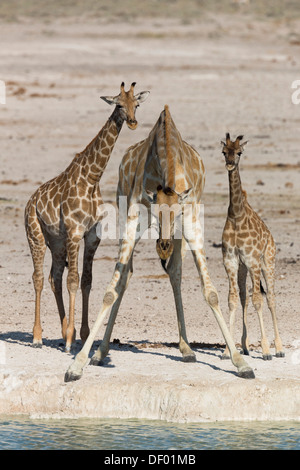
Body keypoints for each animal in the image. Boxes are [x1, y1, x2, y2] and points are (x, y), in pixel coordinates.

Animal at [24, 82, 150, 350]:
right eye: (118, 105)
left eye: (137, 104)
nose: (133, 122)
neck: (92, 179)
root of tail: (30, 201)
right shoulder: (75, 232)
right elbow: (74, 279)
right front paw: (72, 339)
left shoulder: (91, 236)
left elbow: (86, 281)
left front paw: (81, 335)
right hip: (35, 235)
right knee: (38, 277)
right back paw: (38, 336)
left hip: (57, 242)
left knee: (54, 277)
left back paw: (62, 332)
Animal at [64, 106, 254, 382]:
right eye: (155, 212)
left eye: (178, 213)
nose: (163, 246)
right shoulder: (134, 219)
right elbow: (111, 290)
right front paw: (78, 364)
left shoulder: (191, 221)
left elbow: (211, 293)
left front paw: (241, 362)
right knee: (128, 276)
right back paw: (101, 352)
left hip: (180, 237)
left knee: (175, 272)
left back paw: (186, 348)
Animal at [220, 132, 284, 360]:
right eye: (224, 151)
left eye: (239, 152)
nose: (230, 164)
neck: (236, 216)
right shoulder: (231, 260)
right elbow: (232, 299)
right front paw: (226, 350)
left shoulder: (253, 260)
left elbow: (258, 299)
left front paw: (265, 350)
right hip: (243, 268)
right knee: (243, 297)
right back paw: (246, 346)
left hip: (267, 262)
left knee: (271, 298)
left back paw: (279, 348)